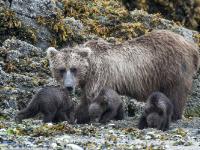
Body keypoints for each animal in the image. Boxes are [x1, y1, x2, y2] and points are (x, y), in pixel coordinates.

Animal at [46, 29, 198, 122]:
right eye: (61, 69)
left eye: (74, 69)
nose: (69, 86)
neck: (89, 70)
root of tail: (191, 46)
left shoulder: (99, 76)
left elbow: (91, 100)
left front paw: (77, 116)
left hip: (172, 68)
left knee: (176, 93)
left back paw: (173, 115)